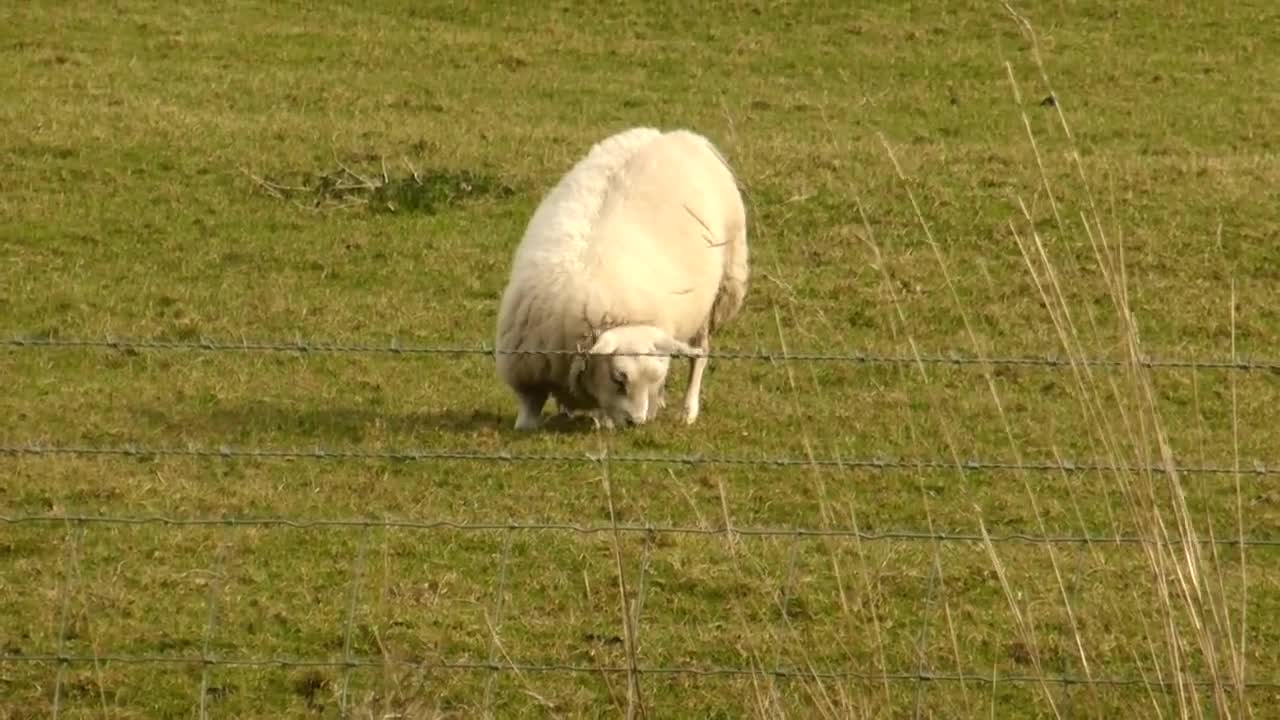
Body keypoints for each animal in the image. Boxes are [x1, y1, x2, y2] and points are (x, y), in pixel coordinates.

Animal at [493, 126, 750, 430]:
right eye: (619, 379)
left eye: (654, 378)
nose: (636, 423)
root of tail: (679, 135)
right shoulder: (529, 370)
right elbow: (529, 408)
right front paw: (528, 425)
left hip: (715, 295)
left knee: (699, 356)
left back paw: (687, 411)